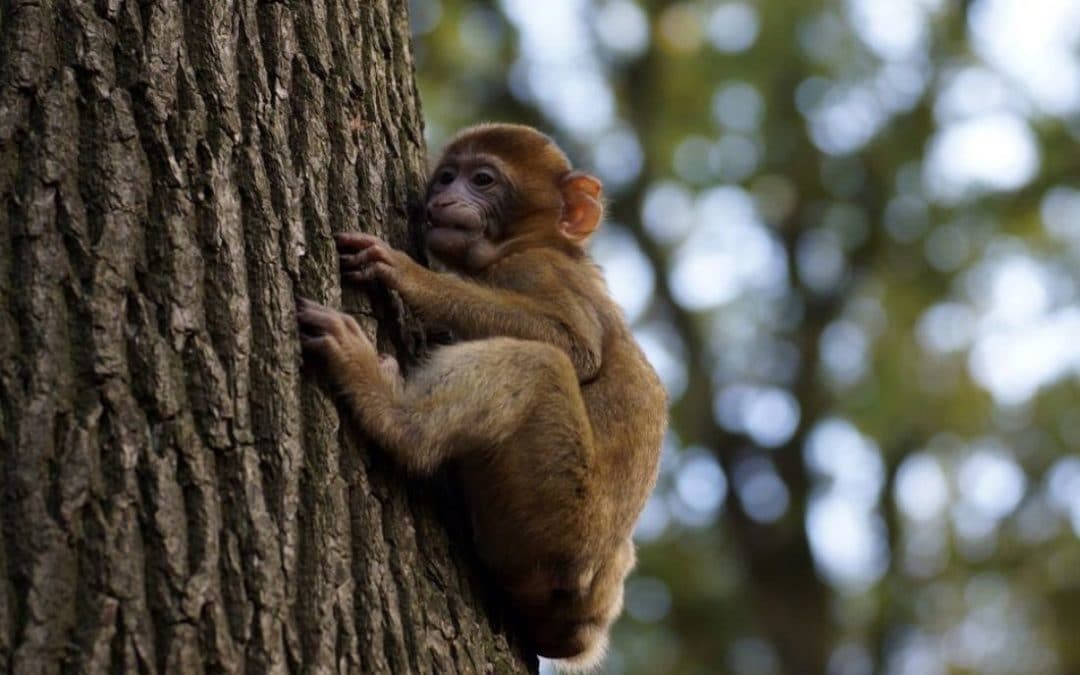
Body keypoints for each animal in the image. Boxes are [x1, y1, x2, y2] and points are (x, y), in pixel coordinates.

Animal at [298, 123, 665, 665]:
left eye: (483, 180)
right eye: (447, 175)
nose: (443, 196)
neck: (528, 244)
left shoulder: (537, 270)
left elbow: (573, 347)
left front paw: (411, 276)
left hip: (555, 514)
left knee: (538, 364)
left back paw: (389, 409)